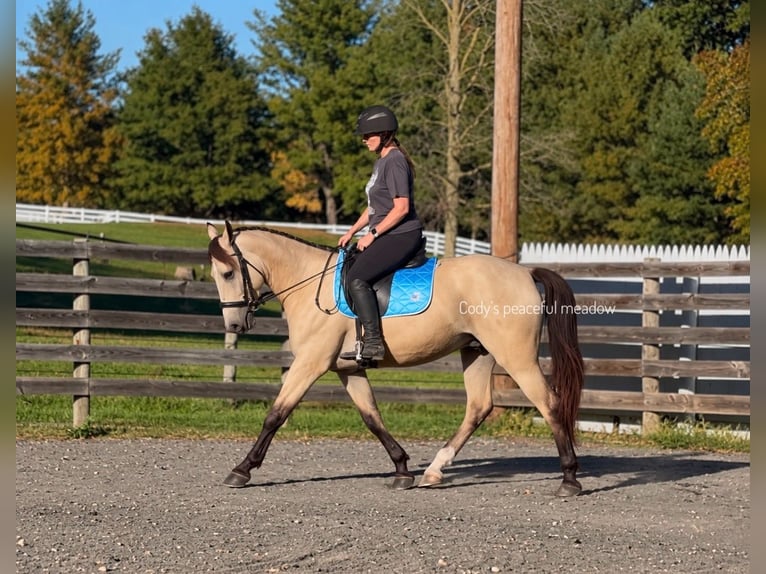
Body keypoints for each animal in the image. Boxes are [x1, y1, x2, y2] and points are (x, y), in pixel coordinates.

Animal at [206, 222, 585, 496]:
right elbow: (372, 418)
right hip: (477, 351)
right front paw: (402, 469)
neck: (308, 284)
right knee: (478, 408)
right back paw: (434, 470)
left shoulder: (310, 364)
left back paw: (569, 479)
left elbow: (276, 414)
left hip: (517, 358)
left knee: (549, 403)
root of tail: (524, 273)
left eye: (228, 273)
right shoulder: (348, 369)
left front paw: (242, 469)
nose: (235, 325)